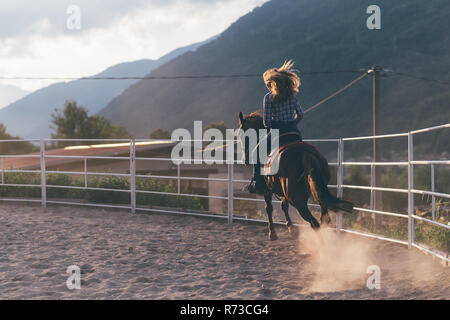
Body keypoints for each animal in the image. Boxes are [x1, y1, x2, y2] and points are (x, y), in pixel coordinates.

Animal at [237, 112, 354, 240]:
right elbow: (283, 206)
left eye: (242, 134)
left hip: (297, 200)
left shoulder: (267, 190)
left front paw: (272, 233)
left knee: (314, 223)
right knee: (323, 219)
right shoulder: (283, 192)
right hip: (317, 196)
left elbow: (269, 208)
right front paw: (291, 228)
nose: (245, 160)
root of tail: (306, 155)